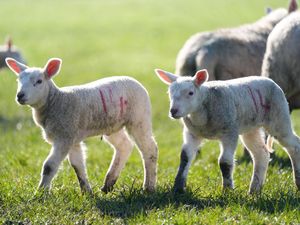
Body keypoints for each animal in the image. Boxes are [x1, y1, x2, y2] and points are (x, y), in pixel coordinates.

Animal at [5, 57, 158, 194]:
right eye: (18, 81)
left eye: (39, 81)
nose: (20, 95)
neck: (56, 101)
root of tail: (135, 81)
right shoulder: (72, 138)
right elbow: (77, 165)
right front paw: (87, 192)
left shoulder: (64, 136)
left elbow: (49, 166)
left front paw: (40, 193)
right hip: (112, 124)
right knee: (124, 145)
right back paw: (108, 184)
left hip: (139, 117)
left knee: (149, 149)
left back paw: (148, 187)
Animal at [156, 68, 300, 193]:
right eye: (170, 94)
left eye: (190, 93)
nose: (173, 111)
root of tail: (270, 81)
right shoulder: (192, 133)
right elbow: (185, 157)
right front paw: (178, 188)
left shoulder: (229, 132)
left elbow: (224, 162)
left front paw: (227, 190)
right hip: (250, 128)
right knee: (261, 154)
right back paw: (254, 190)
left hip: (279, 117)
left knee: (294, 145)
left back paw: (297, 182)